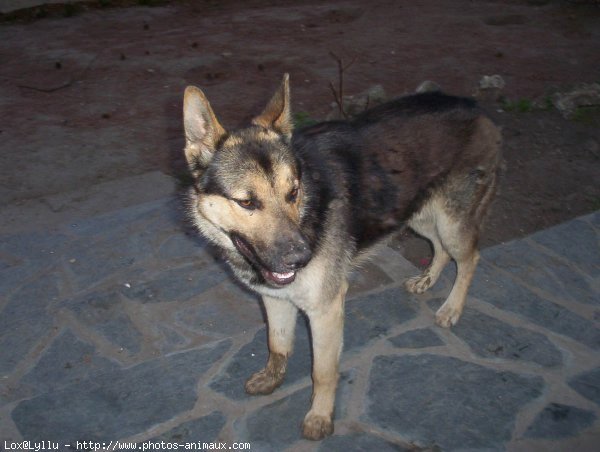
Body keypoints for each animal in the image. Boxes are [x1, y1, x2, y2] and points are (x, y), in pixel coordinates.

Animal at [183, 75, 502, 442]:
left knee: (469, 258)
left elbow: (323, 372)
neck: (309, 209)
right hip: (416, 214)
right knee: (440, 248)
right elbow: (277, 344)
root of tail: (476, 106)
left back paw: (451, 308)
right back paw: (427, 280)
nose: (302, 258)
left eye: (293, 192)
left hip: (450, 222)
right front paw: (272, 378)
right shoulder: (274, 297)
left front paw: (320, 417)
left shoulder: (326, 308)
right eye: (247, 202)